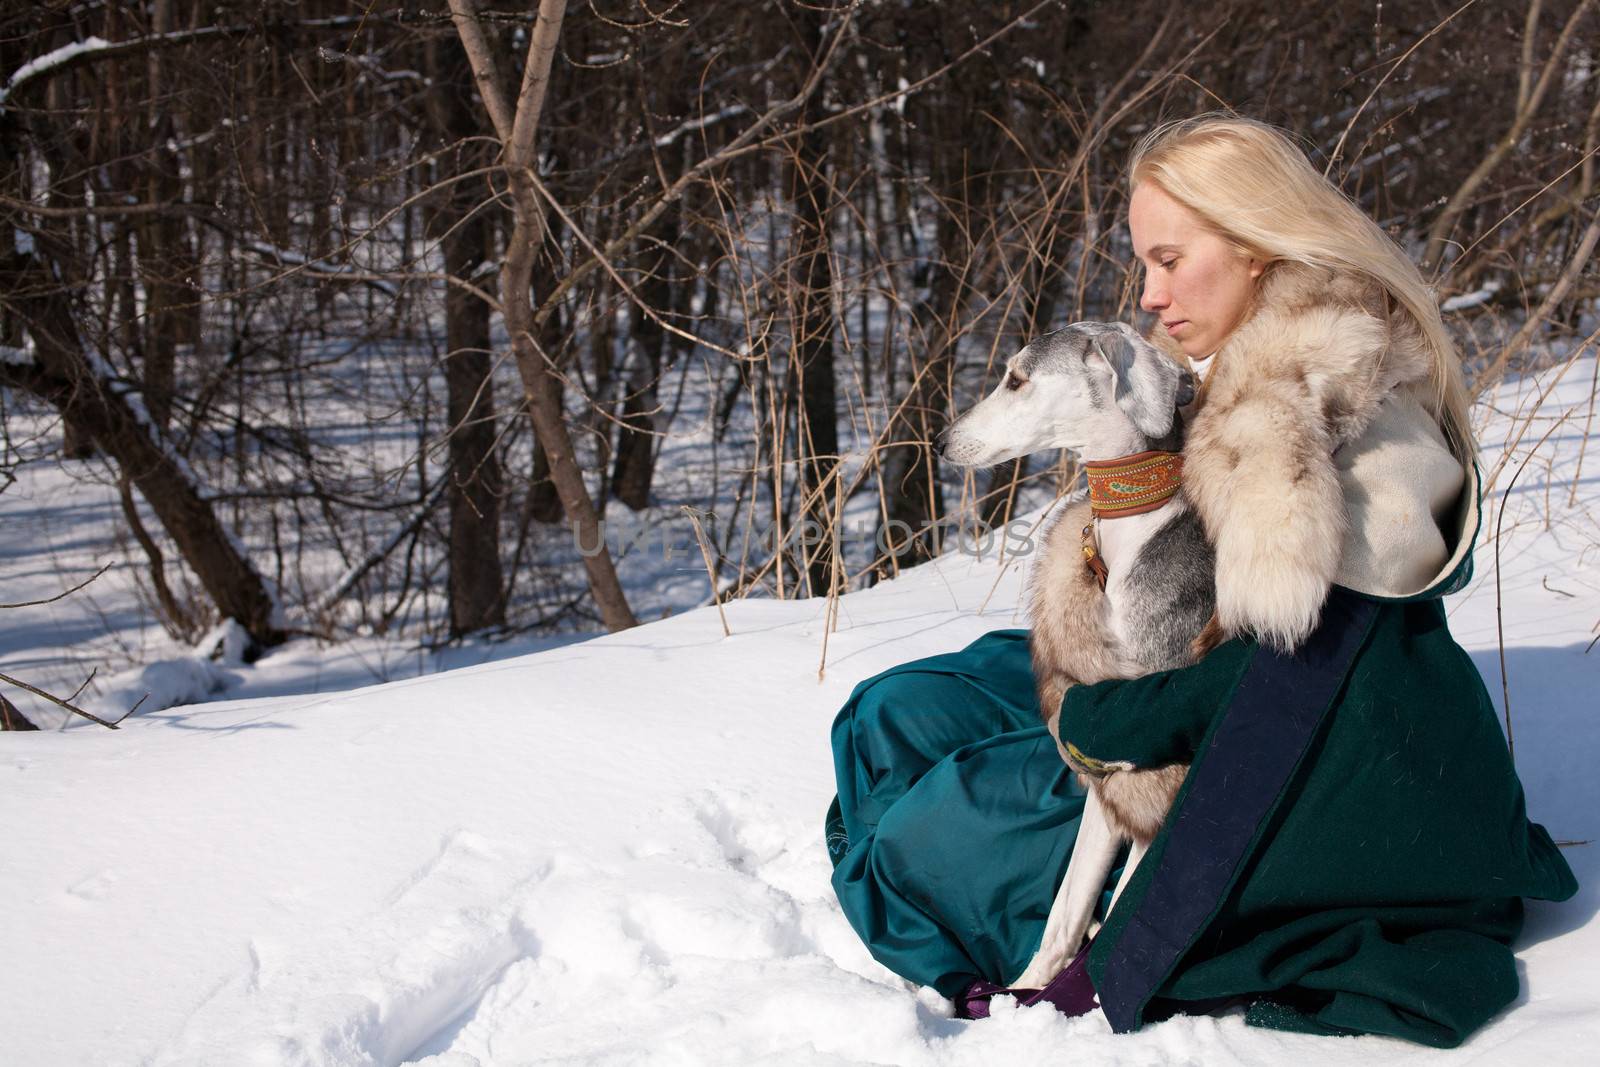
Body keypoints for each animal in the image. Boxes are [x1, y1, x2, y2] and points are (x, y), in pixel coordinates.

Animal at [940, 321, 1216, 991]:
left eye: (1017, 378)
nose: (941, 442)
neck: (1136, 526)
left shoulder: (1160, 771)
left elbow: (1127, 903)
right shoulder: (1107, 772)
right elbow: (1068, 905)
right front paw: (1025, 995)